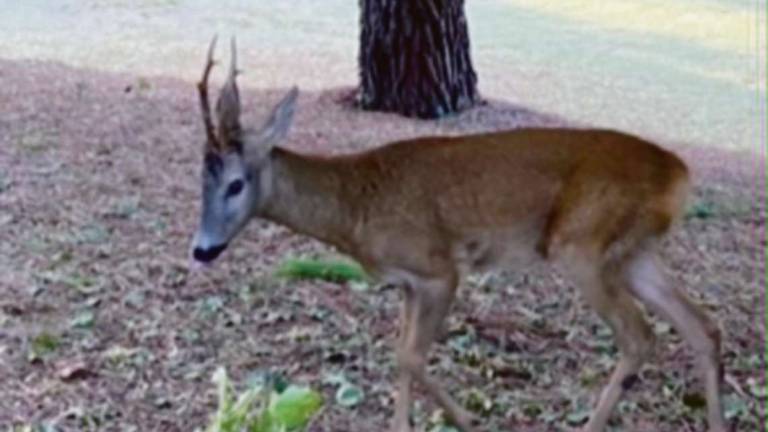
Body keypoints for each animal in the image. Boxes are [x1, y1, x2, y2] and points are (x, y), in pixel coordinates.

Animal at [188, 38, 728, 432]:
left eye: (236, 184)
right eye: (202, 180)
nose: (202, 249)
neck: (356, 208)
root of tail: (680, 175)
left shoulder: (439, 269)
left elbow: (411, 355)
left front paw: (467, 418)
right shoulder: (406, 283)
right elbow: (400, 354)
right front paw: (403, 425)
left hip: (582, 245)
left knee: (639, 336)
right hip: (634, 253)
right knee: (702, 325)